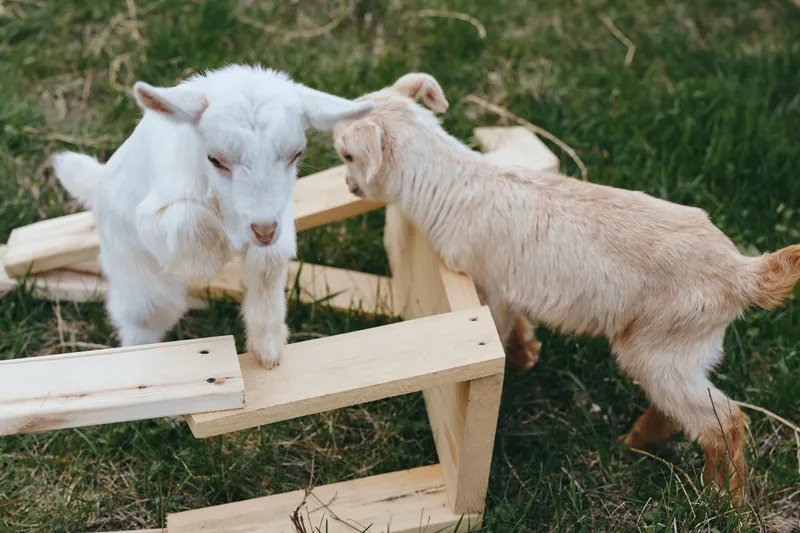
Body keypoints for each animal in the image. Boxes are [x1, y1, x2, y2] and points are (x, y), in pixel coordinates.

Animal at [52, 64, 374, 369]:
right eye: (215, 159)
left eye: (296, 154)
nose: (263, 230)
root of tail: (97, 184)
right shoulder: (151, 215)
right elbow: (190, 219)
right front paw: (207, 262)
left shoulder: (280, 217)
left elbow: (268, 265)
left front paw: (268, 348)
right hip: (137, 278)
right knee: (143, 317)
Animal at [332, 72, 800, 504]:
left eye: (347, 154)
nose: (349, 187)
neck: (455, 182)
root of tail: (741, 272)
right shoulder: (510, 286)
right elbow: (519, 325)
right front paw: (527, 354)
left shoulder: (490, 284)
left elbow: (500, 326)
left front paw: (515, 363)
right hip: (682, 352)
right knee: (683, 411)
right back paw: (637, 445)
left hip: (659, 349)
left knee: (725, 421)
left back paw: (722, 498)